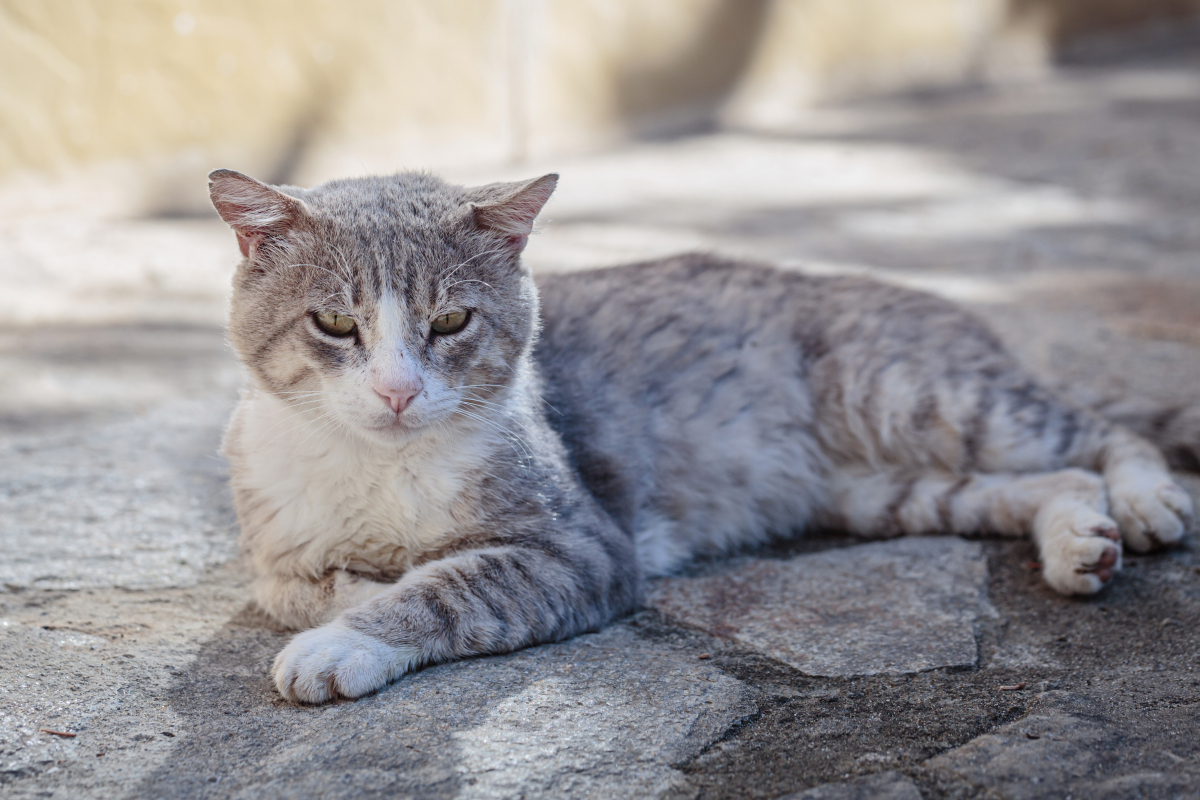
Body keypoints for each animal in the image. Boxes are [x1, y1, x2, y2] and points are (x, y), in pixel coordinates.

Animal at [211, 165, 1195, 705]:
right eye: (335, 324)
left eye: (451, 321)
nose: (398, 391)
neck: (381, 474)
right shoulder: (274, 544)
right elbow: (295, 587)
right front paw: (348, 596)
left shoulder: (584, 546)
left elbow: (445, 588)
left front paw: (344, 641)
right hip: (883, 492)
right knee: (1048, 481)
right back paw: (1081, 540)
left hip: (916, 395)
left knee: (1102, 433)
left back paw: (1146, 503)